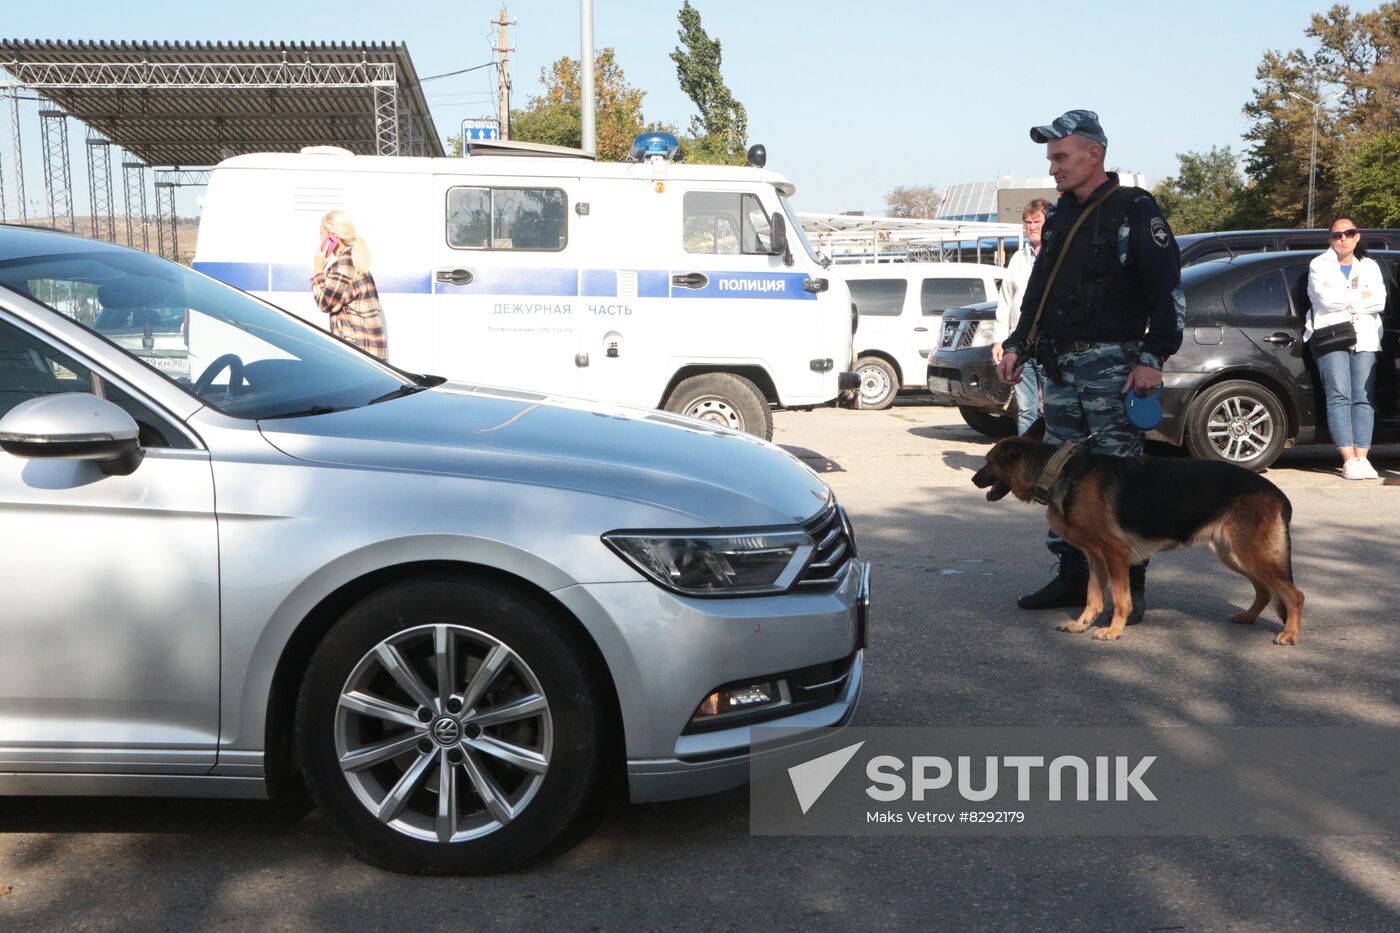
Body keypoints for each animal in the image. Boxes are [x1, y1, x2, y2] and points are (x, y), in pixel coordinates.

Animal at [974, 420, 1299, 638]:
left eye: (988, 462)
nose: (974, 480)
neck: (1057, 472)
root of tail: (1279, 494)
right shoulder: (1096, 558)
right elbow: (1093, 597)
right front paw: (1082, 624)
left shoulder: (1115, 555)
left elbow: (1120, 599)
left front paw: (1113, 631)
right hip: (1235, 555)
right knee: (1266, 590)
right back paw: (1248, 617)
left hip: (1251, 554)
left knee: (1294, 595)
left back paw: (1289, 635)